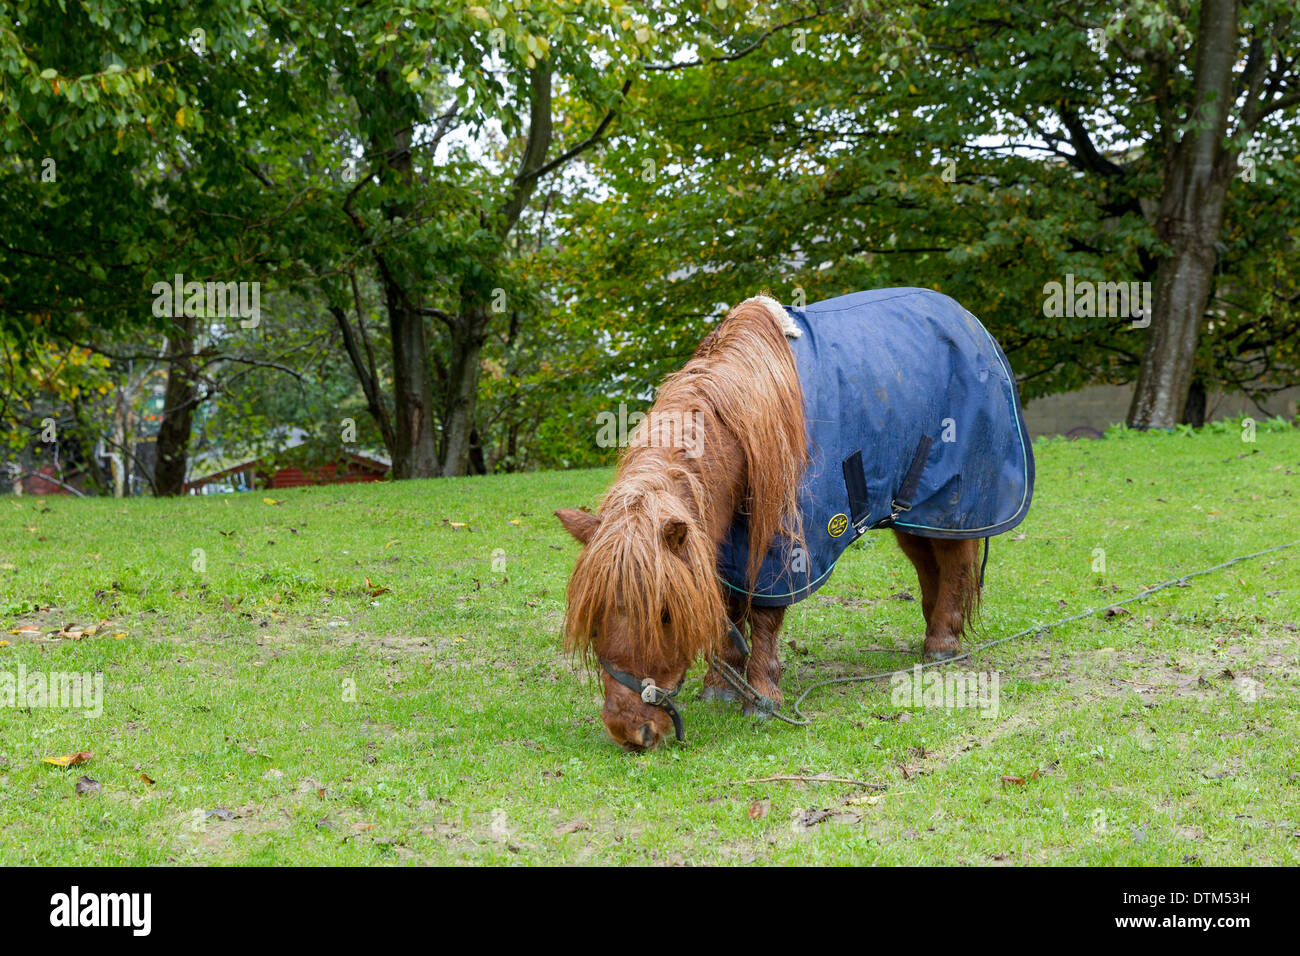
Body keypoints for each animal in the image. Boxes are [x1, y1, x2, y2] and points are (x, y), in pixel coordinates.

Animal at [557, 288, 1034, 751]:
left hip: (954, 504)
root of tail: (968, 319)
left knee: (954, 562)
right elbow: (730, 607)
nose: (629, 732)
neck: (743, 418)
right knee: (929, 563)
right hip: (913, 513)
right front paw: (722, 686)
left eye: (665, 616)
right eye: (595, 617)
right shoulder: (724, 546)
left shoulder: (786, 545)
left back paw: (941, 643)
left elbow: (765, 616)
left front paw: (762, 697)